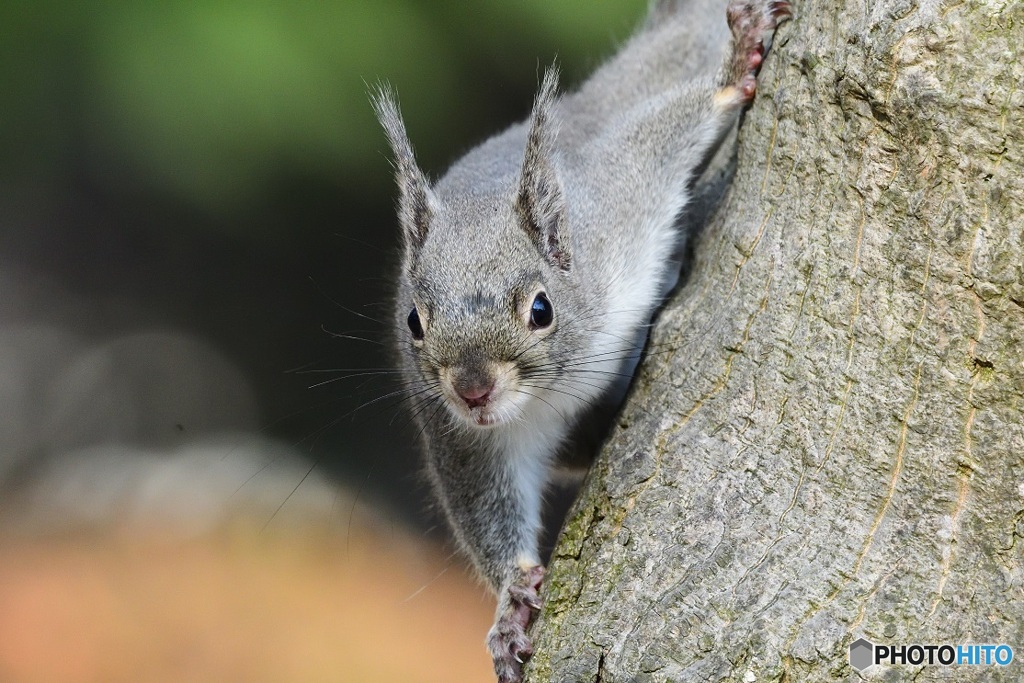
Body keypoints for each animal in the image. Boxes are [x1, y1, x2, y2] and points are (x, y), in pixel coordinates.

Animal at [372, 2, 786, 679]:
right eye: (413, 321)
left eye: (541, 309)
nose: (472, 392)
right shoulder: (461, 438)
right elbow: (484, 507)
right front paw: (511, 607)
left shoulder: (620, 196)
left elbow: (665, 132)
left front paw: (732, 72)